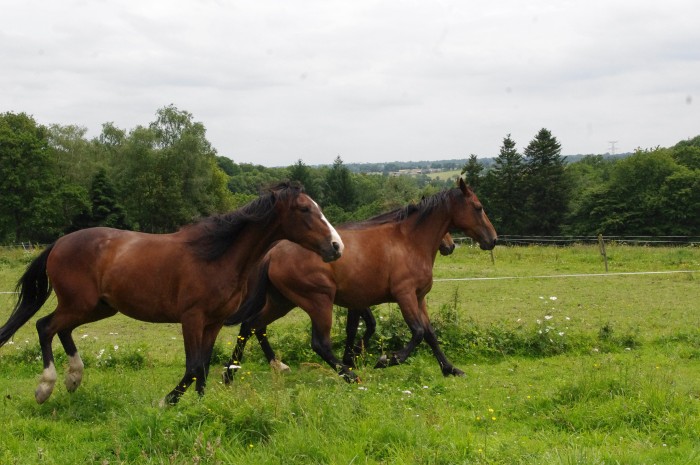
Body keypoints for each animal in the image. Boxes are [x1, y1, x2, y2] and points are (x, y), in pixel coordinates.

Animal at [0, 181, 344, 402]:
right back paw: (46, 386)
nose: (336, 246)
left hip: (97, 307)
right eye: (304, 209)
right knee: (45, 326)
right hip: (79, 304)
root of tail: (59, 243)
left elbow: (203, 366)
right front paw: (169, 401)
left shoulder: (213, 322)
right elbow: (192, 367)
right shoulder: (191, 318)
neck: (216, 255)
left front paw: (203, 406)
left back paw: (74, 378)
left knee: (61, 329)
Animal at [227, 178, 494, 380]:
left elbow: (429, 334)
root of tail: (273, 251)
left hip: (282, 301)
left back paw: (234, 372)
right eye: (478, 207)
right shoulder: (403, 295)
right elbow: (416, 332)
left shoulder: (418, 298)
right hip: (317, 300)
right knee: (318, 343)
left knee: (251, 325)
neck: (409, 242)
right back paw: (348, 375)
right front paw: (386, 359)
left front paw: (450, 369)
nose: (492, 239)